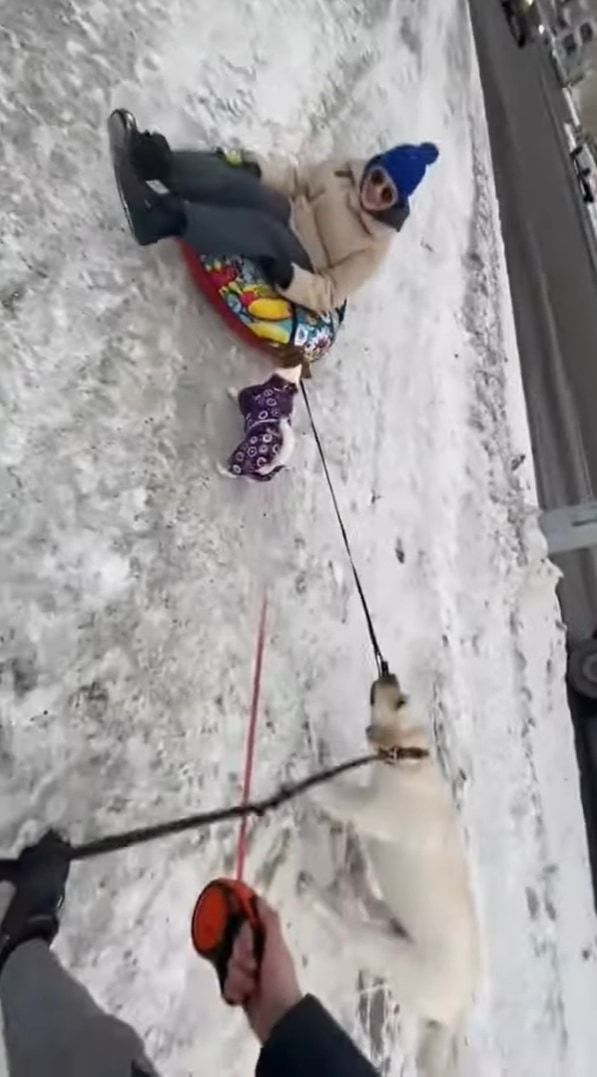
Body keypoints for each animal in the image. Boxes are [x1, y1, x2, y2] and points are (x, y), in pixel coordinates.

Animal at [316, 667, 478, 1072]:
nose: (388, 672)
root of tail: (459, 1011)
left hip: (395, 957)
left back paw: (318, 898)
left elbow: (336, 795)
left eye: (401, 699)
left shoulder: (375, 810)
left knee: (349, 936)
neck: (410, 763)